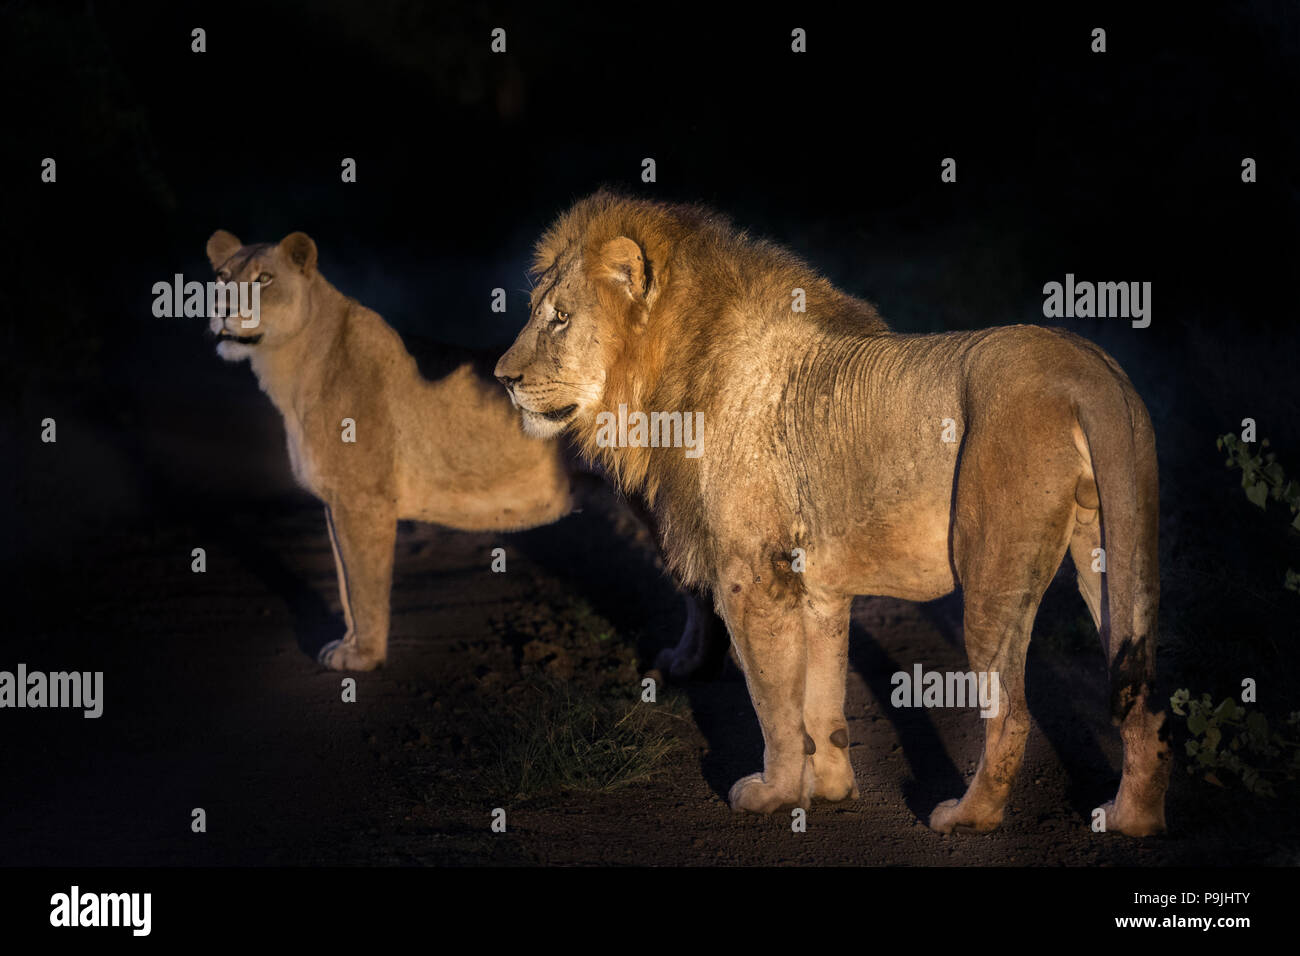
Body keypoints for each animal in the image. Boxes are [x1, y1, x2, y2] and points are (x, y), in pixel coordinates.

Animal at [493, 195, 1170, 837]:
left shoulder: (750, 579)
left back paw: (966, 817)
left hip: (991, 571)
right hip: (1113, 558)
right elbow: (821, 700)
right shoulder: (816, 588)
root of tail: (1088, 370)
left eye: (560, 318)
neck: (668, 378)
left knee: (1012, 715)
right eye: (541, 311)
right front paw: (831, 789)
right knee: (1141, 699)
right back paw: (1132, 819)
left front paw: (773, 794)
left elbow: (774, 705)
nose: (504, 378)